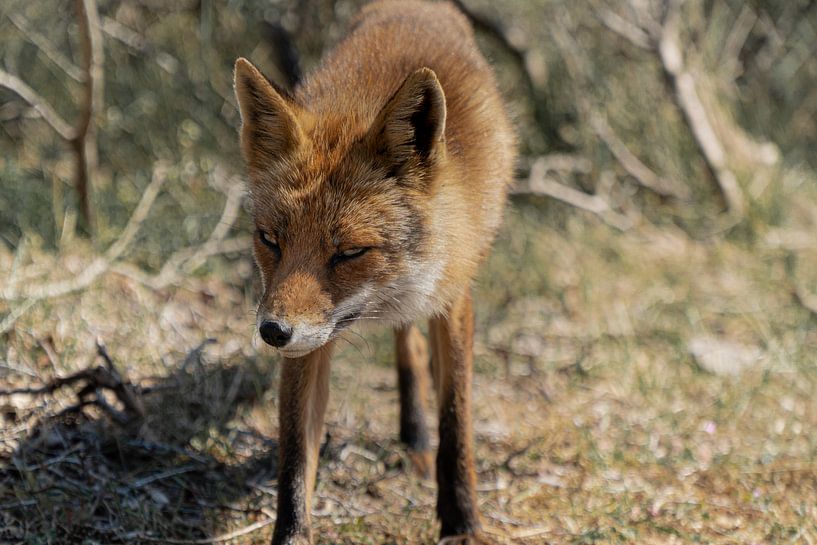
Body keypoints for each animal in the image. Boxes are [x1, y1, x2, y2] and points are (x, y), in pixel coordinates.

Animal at [233, 1, 516, 543]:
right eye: (270, 240)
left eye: (349, 252)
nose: (272, 331)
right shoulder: (309, 338)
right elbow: (295, 456)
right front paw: (293, 533)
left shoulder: (453, 295)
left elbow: (456, 417)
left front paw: (463, 520)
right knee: (407, 345)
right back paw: (414, 430)